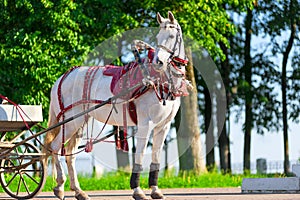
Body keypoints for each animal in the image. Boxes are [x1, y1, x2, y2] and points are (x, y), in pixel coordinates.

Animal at [44, 11, 188, 200]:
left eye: (171, 36)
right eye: (157, 36)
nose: (158, 62)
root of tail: (63, 77)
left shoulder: (163, 126)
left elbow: (156, 156)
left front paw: (155, 190)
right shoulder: (145, 123)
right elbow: (140, 155)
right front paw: (137, 190)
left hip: (79, 122)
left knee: (69, 155)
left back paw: (77, 190)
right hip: (70, 122)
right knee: (55, 147)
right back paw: (60, 186)